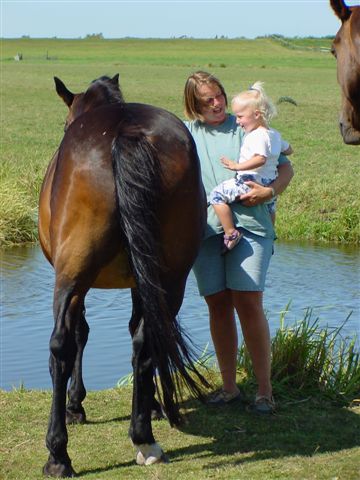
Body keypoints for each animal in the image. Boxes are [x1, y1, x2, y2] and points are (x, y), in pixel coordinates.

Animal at [38, 75, 208, 476]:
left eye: (64, 123)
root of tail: (126, 129)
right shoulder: (139, 282)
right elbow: (137, 333)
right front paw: (152, 406)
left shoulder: (77, 284)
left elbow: (81, 334)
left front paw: (76, 404)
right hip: (169, 277)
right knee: (148, 339)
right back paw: (144, 436)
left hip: (72, 275)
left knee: (61, 346)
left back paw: (58, 454)